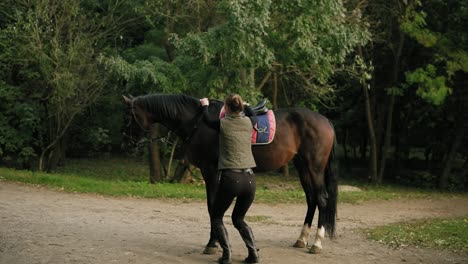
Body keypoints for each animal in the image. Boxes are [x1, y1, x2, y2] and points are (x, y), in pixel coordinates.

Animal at [122, 94, 338, 255]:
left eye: (129, 116)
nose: (127, 141)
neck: (198, 121)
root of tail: (326, 121)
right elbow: (212, 206)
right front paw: (215, 241)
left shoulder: (210, 170)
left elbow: (212, 206)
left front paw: (212, 243)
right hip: (303, 167)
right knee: (311, 199)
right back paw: (301, 239)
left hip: (315, 167)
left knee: (322, 199)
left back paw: (316, 243)